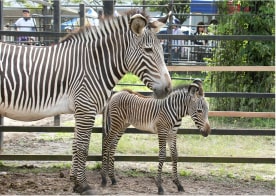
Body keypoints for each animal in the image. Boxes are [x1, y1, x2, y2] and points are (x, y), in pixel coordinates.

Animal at [0, 10, 171, 193]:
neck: (94, 65)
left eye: (162, 50)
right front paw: (83, 185)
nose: (168, 88)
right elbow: (83, 147)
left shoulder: (80, 110)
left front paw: (74, 181)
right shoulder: (86, 108)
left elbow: (76, 146)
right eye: (148, 50)